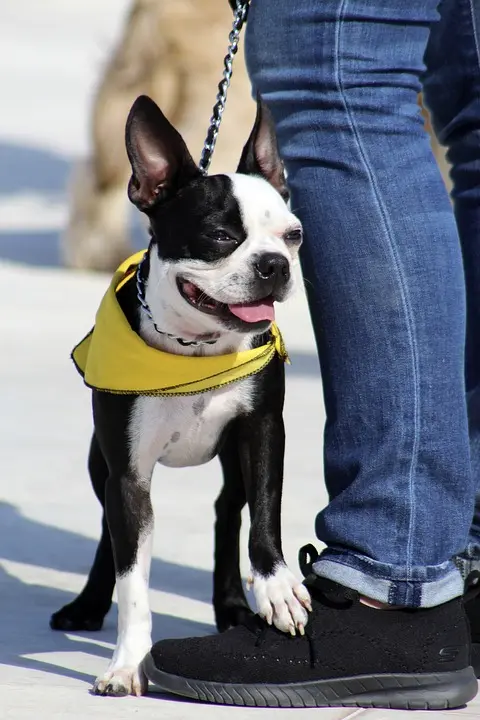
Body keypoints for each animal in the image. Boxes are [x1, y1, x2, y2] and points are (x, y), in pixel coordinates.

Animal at [49, 93, 312, 696]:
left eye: (293, 235)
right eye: (219, 238)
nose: (275, 265)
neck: (195, 353)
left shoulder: (265, 431)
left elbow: (264, 517)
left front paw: (277, 588)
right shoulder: (128, 476)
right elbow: (132, 580)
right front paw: (127, 664)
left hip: (233, 457)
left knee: (227, 510)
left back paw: (233, 605)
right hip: (101, 464)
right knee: (108, 534)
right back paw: (87, 604)